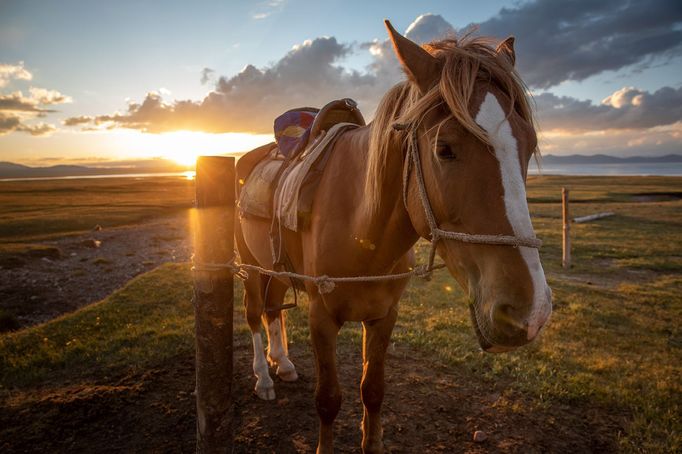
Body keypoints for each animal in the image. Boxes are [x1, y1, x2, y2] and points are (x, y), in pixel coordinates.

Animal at [236, 19, 548, 452]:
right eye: (444, 148)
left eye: (528, 145)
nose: (529, 313)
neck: (361, 232)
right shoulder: (321, 318)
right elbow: (328, 400)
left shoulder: (385, 317)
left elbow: (373, 391)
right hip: (250, 265)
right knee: (254, 313)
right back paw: (263, 379)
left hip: (277, 269)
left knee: (271, 308)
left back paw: (281, 363)